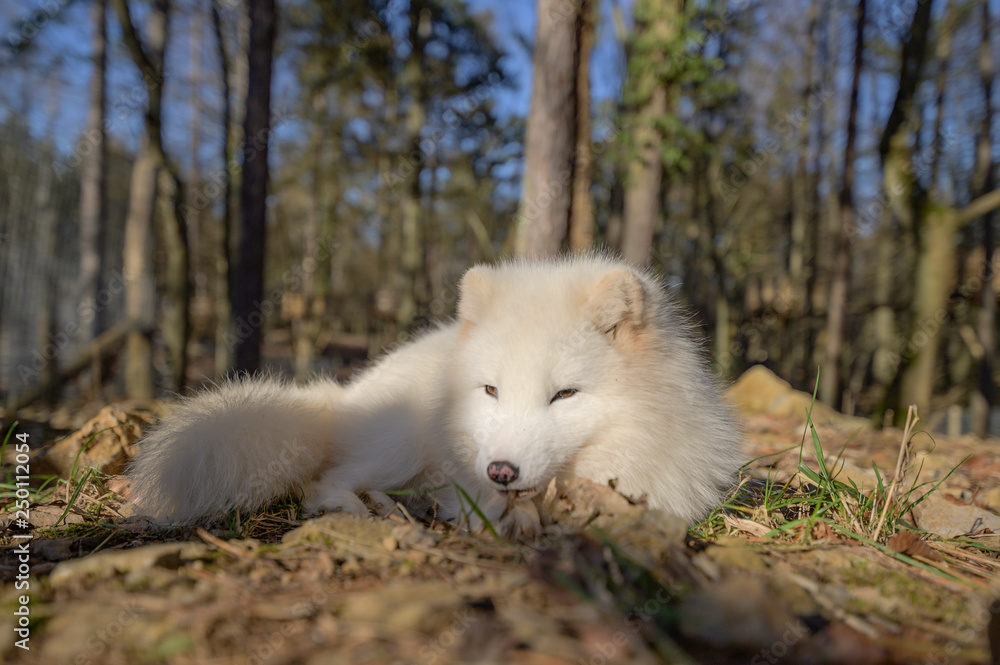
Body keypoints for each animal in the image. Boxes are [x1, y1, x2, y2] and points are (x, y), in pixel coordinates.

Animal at [126, 254, 744, 529]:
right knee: (324, 482)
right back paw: (366, 509)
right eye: (491, 390)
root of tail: (344, 396)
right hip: (404, 439)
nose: (499, 471)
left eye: (564, 395)